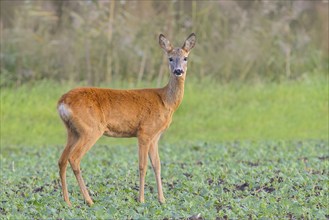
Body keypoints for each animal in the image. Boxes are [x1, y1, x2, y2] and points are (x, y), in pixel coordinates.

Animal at [57, 33, 195, 206]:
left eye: (185, 58)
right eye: (170, 58)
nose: (178, 71)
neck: (166, 101)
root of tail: (62, 102)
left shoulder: (155, 136)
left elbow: (157, 165)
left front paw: (162, 200)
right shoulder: (144, 131)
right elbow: (142, 166)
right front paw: (141, 200)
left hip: (72, 131)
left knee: (62, 160)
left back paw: (67, 201)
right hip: (90, 129)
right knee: (74, 158)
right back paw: (89, 200)